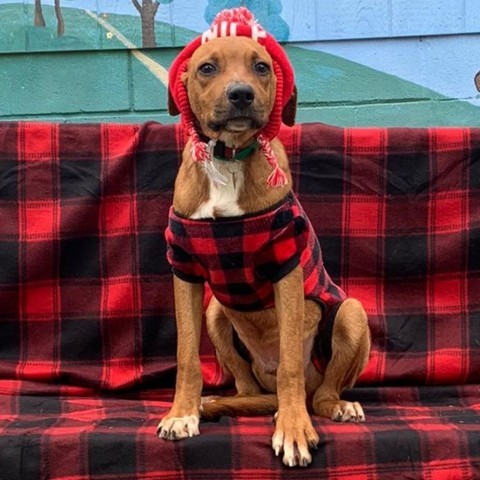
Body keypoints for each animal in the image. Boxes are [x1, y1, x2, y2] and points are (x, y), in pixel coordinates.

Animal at [158, 7, 372, 466]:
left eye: (261, 67)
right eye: (206, 68)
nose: (240, 95)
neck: (229, 160)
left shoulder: (285, 265)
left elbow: (290, 360)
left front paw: (292, 430)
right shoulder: (184, 269)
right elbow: (186, 356)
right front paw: (182, 413)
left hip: (350, 313)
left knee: (318, 393)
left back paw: (331, 406)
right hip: (216, 314)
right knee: (248, 390)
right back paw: (218, 404)